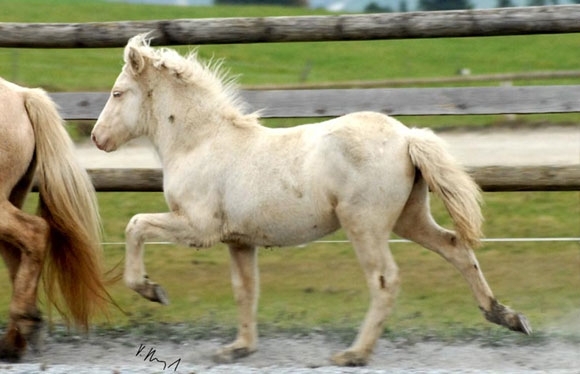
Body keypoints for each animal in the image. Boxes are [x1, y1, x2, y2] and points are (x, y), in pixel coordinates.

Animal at [92, 35, 532, 366]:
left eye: (117, 92)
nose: (98, 138)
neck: (201, 142)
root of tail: (408, 136)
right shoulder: (239, 241)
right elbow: (245, 290)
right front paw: (239, 348)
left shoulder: (199, 228)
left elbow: (135, 225)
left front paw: (151, 289)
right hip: (410, 218)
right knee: (457, 248)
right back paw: (506, 316)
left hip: (365, 225)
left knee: (386, 280)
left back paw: (354, 354)